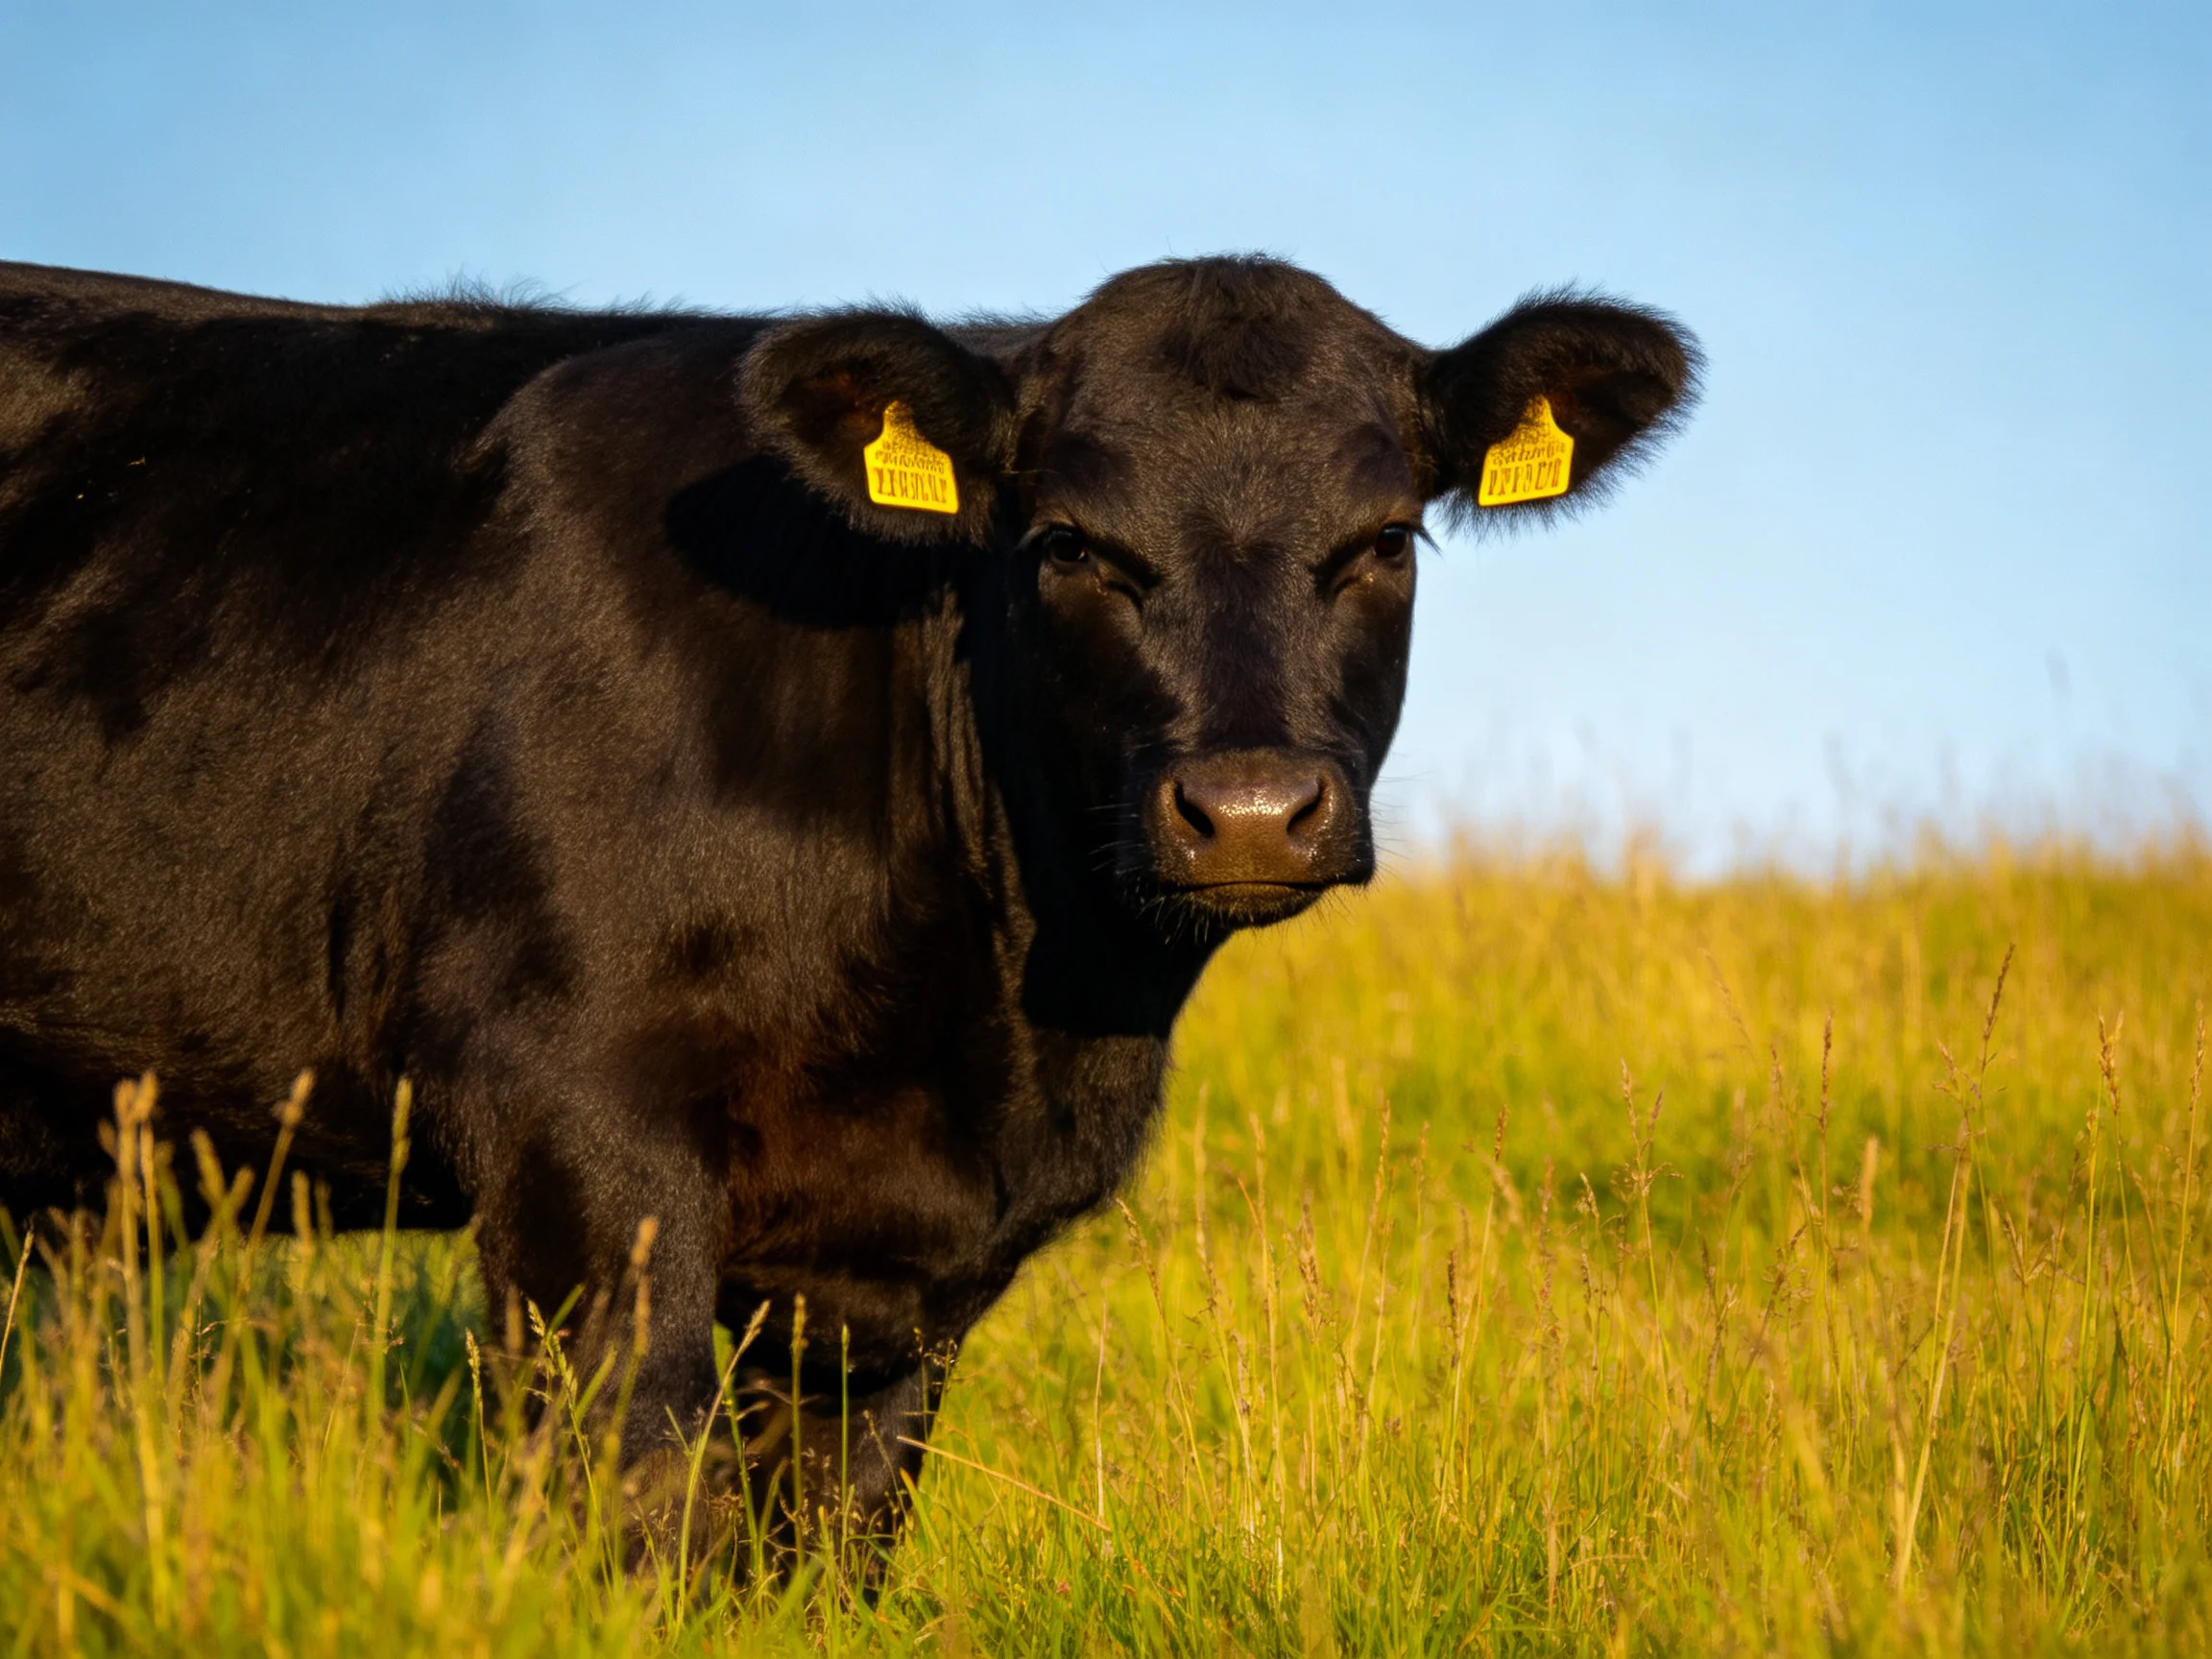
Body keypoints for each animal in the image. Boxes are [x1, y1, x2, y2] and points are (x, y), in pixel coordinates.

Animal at [0, 255, 1696, 1556]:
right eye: (1069, 545)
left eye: (1383, 542)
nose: (1252, 811)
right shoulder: (565, 1122)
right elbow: (632, 1500)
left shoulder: (891, 1274)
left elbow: (831, 1536)